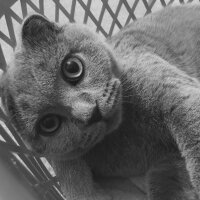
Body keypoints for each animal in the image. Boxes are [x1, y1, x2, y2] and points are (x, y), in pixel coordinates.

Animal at [1, 3, 200, 200]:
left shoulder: (177, 98)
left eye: (72, 67)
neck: (130, 130)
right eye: (49, 123)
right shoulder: (165, 158)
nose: (91, 113)